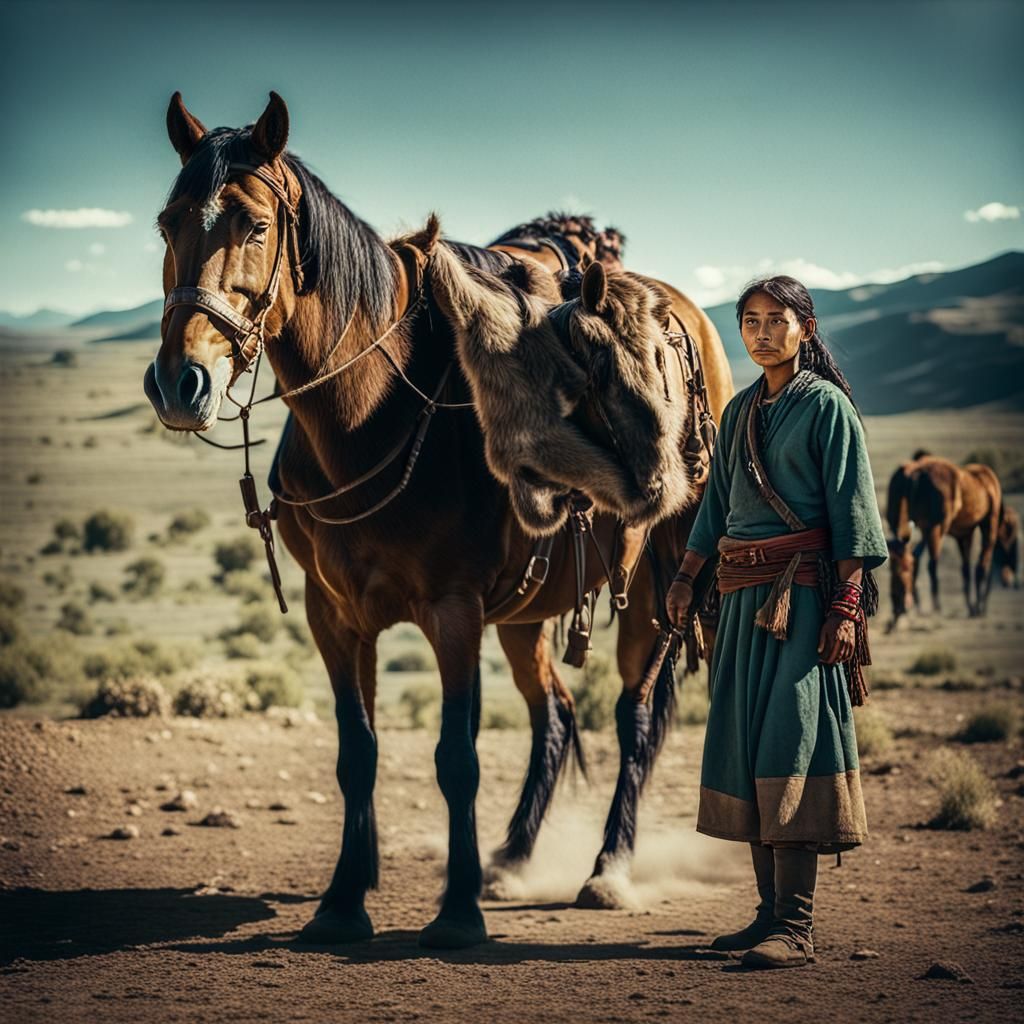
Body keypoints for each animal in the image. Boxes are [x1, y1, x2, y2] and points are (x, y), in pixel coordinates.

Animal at [146, 91, 729, 945]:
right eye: (167, 222)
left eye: (253, 225)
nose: (179, 382)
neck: (368, 419)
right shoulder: (333, 612)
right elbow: (357, 752)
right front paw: (343, 900)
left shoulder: (453, 610)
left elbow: (457, 757)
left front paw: (454, 914)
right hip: (528, 611)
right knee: (554, 713)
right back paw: (510, 859)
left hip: (660, 586)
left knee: (636, 718)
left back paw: (607, 870)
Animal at [885, 455, 1002, 626]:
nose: (897, 602)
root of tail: (913, 473)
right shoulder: (988, 523)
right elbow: (979, 566)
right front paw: (977, 608)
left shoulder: (964, 533)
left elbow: (966, 569)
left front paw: (972, 607)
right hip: (936, 528)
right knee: (931, 563)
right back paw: (936, 608)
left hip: (914, 527)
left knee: (919, 558)